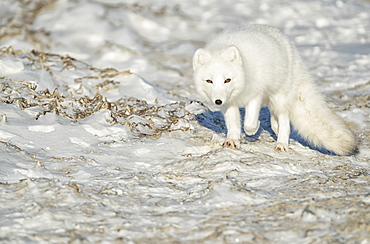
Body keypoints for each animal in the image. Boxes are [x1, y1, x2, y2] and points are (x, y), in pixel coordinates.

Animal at [194, 24, 358, 154]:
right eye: (209, 81)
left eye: (227, 80)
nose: (218, 101)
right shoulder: (230, 102)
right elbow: (233, 124)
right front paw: (233, 140)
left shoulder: (256, 94)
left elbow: (249, 123)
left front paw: (255, 128)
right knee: (275, 118)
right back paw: (275, 127)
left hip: (279, 97)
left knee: (285, 120)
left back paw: (282, 143)